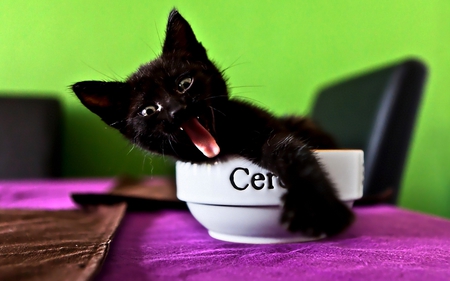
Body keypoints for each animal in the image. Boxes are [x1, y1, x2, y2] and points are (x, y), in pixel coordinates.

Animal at [72, 8, 354, 235]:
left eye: (184, 83)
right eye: (149, 110)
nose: (177, 110)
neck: (224, 144)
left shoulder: (266, 126)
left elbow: (287, 150)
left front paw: (313, 205)